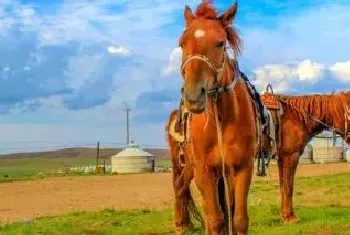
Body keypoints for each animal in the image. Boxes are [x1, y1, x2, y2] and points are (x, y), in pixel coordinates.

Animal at [166, 1, 262, 235]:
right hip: (188, 164)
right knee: (180, 186)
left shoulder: (242, 168)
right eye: (182, 44)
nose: (193, 96)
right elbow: (216, 219)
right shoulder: (204, 170)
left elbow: (238, 219)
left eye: (220, 43)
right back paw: (181, 225)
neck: (222, 119)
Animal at [260, 90, 350, 224]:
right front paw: (290, 217)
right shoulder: (291, 156)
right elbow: (288, 186)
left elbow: (283, 186)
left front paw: (284, 216)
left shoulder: (281, 158)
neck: (295, 116)